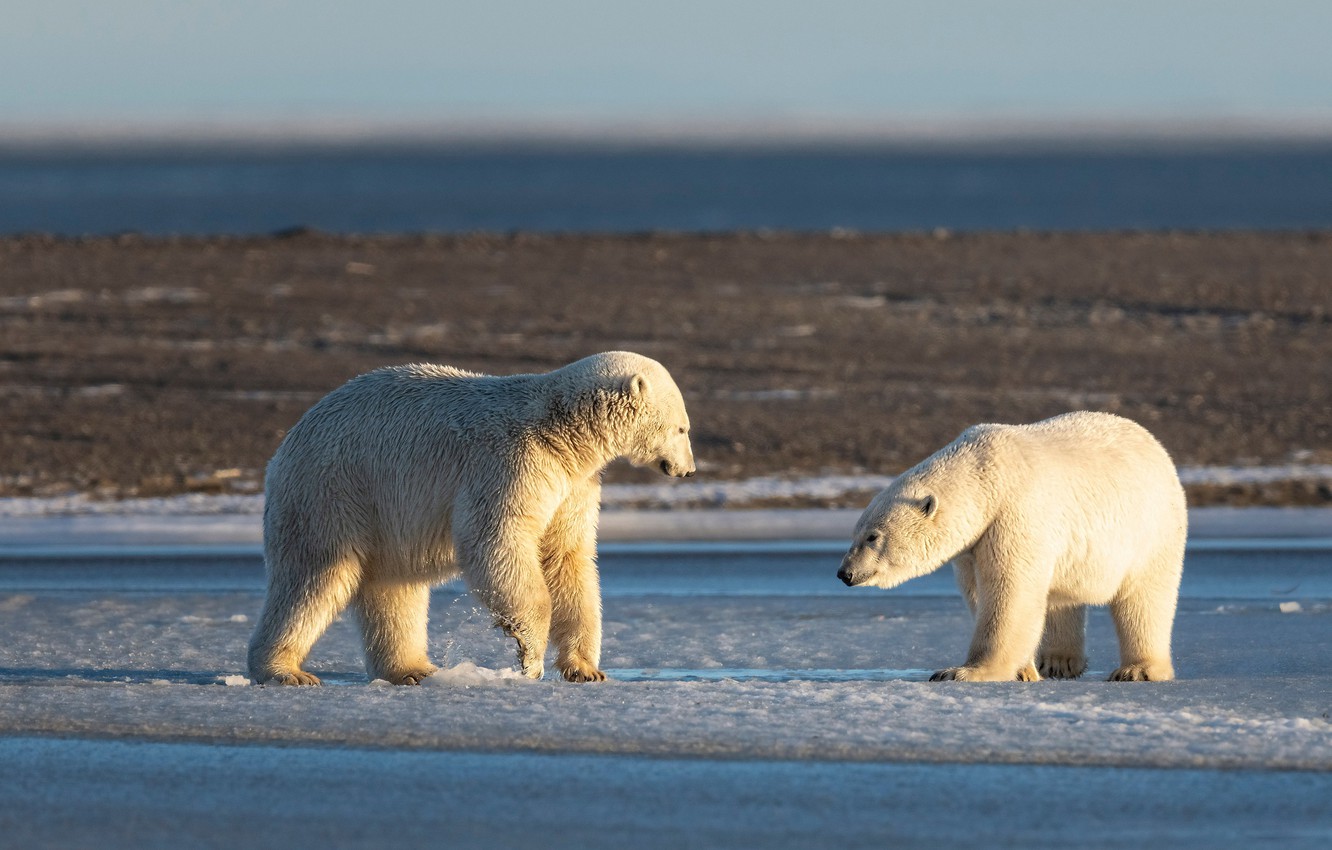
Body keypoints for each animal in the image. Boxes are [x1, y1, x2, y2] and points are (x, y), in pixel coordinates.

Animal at [247, 351, 695, 686]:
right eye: (682, 428)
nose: (689, 471)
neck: (561, 430)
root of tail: (288, 442)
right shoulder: (512, 461)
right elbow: (497, 538)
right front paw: (528, 653)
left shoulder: (573, 484)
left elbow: (566, 557)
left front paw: (586, 669)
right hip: (333, 489)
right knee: (314, 578)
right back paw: (286, 671)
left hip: (380, 513)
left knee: (394, 590)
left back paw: (412, 670)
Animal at [837, 411, 1186, 683]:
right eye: (855, 533)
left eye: (872, 537)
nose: (845, 573)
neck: (984, 475)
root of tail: (1157, 447)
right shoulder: (973, 542)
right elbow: (982, 592)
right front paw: (1024, 671)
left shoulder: (1014, 514)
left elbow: (1008, 592)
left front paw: (962, 671)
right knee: (1061, 594)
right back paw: (1058, 661)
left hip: (1153, 528)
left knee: (1145, 597)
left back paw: (1137, 670)